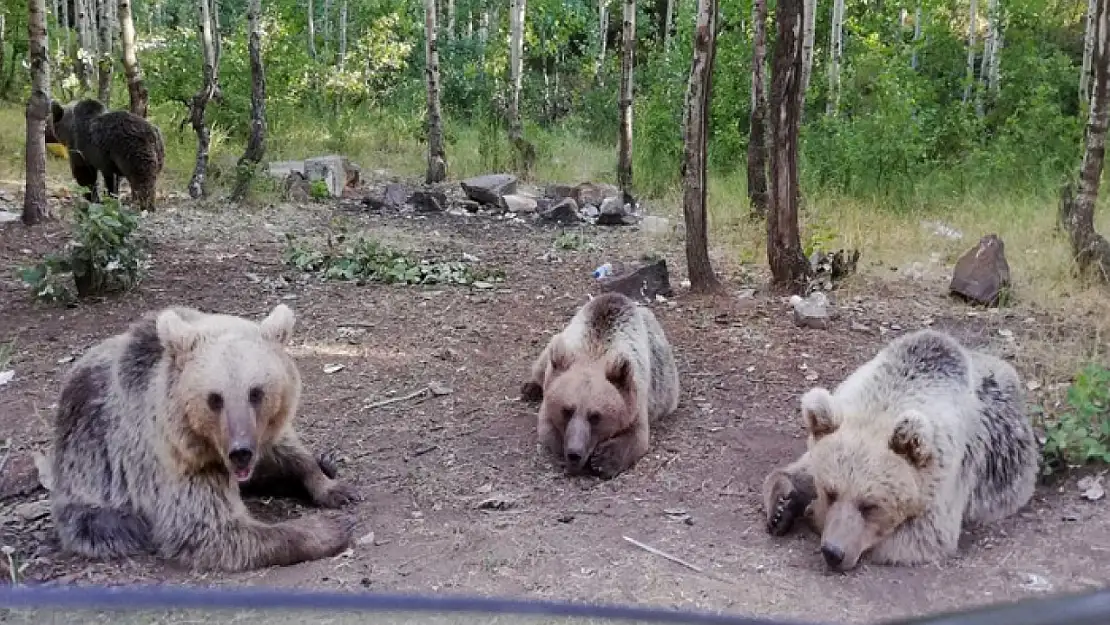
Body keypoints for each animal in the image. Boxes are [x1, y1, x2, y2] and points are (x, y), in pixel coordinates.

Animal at [49, 304, 355, 572]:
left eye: (256, 392)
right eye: (214, 398)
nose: (240, 452)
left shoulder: (261, 437)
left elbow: (288, 453)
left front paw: (333, 485)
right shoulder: (177, 462)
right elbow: (214, 529)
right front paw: (329, 528)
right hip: (88, 486)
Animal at [521, 293, 679, 479]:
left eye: (595, 416)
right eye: (566, 410)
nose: (575, 453)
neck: (595, 353)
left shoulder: (636, 395)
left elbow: (638, 437)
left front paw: (603, 460)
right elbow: (548, 431)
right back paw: (529, 388)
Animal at [763, 330, 1038, 572]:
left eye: (870, 505)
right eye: (831, 492)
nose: (833, 552)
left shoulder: (946, 477)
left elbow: (923, 536)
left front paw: (811, 513)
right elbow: (798, 469)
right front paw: (782, 506)